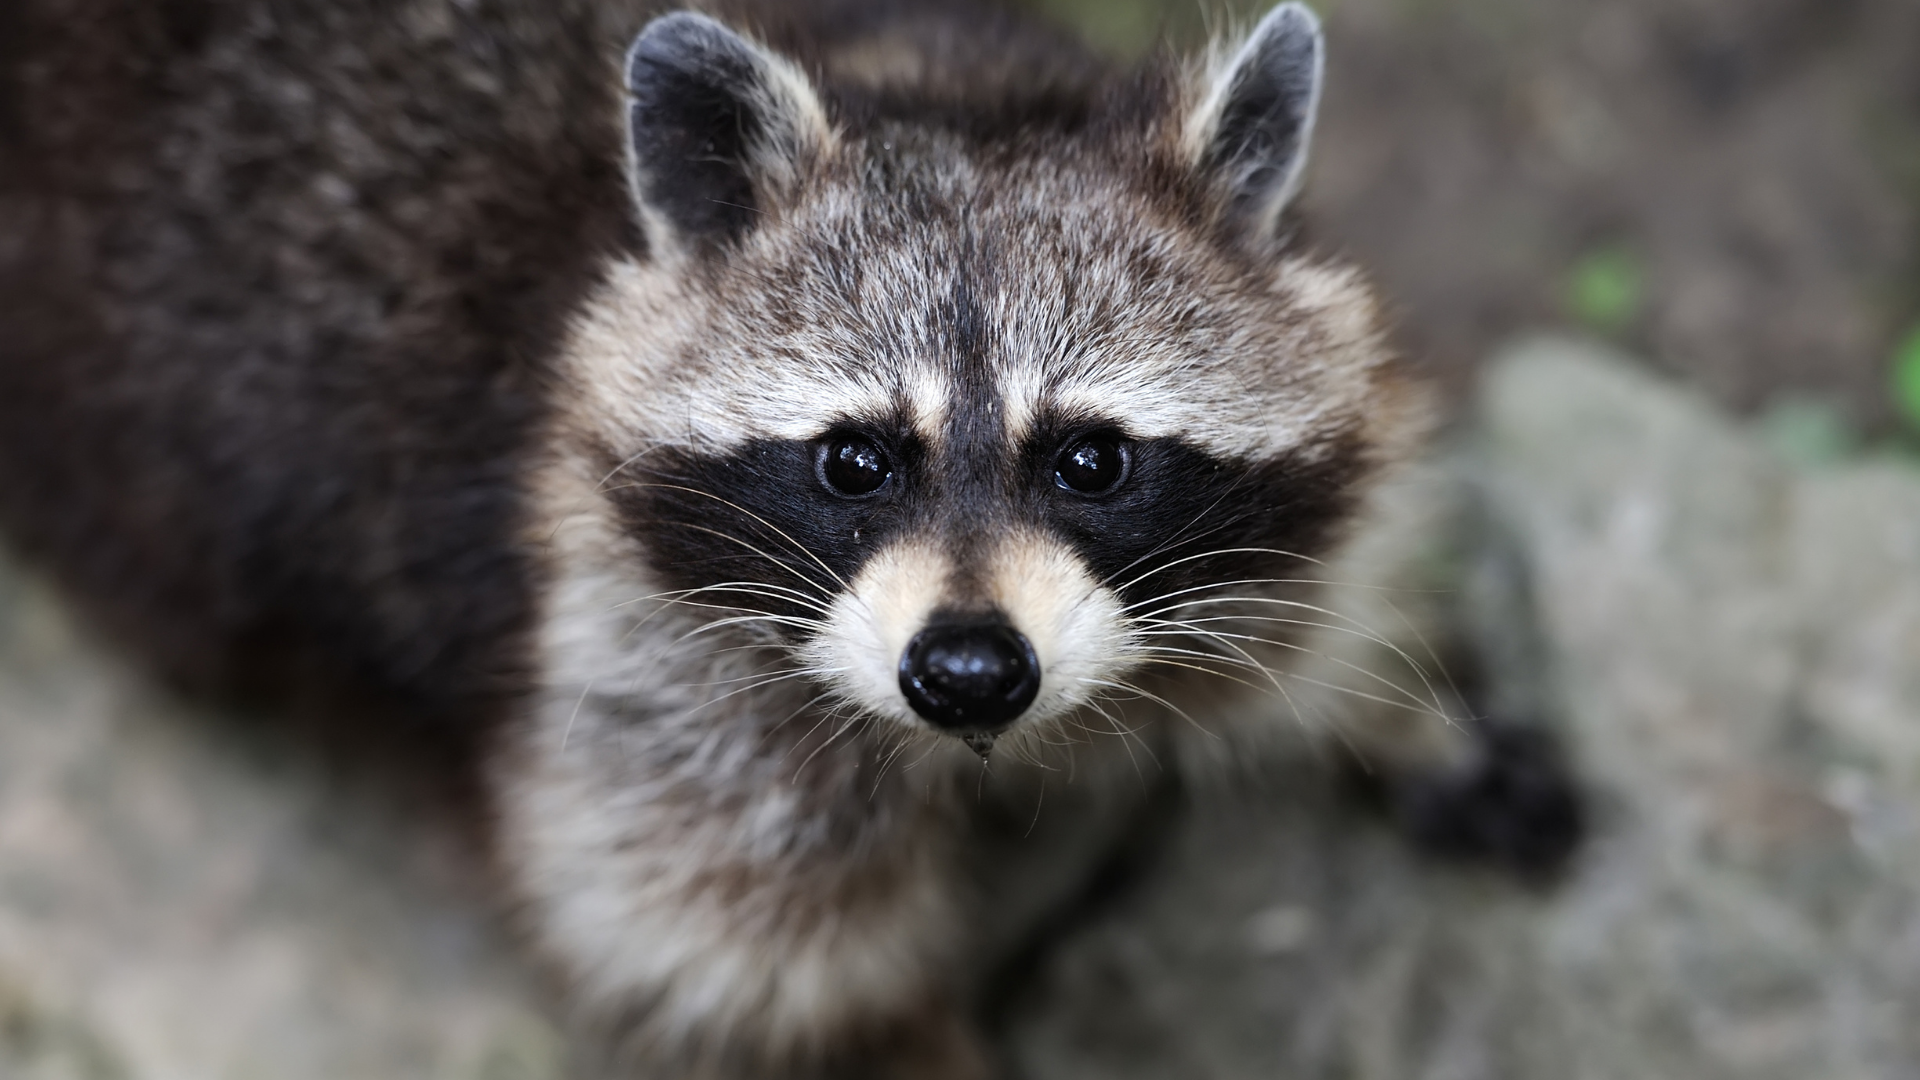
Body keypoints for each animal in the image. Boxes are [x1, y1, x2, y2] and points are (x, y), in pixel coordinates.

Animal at [0, 0, 1577, 1076]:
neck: (936, 89)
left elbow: (1317, 583)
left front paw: (1401, 707)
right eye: (854, 462)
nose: (968, 675)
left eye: (1092, 460)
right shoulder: (622, 653)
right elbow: (754, 966)